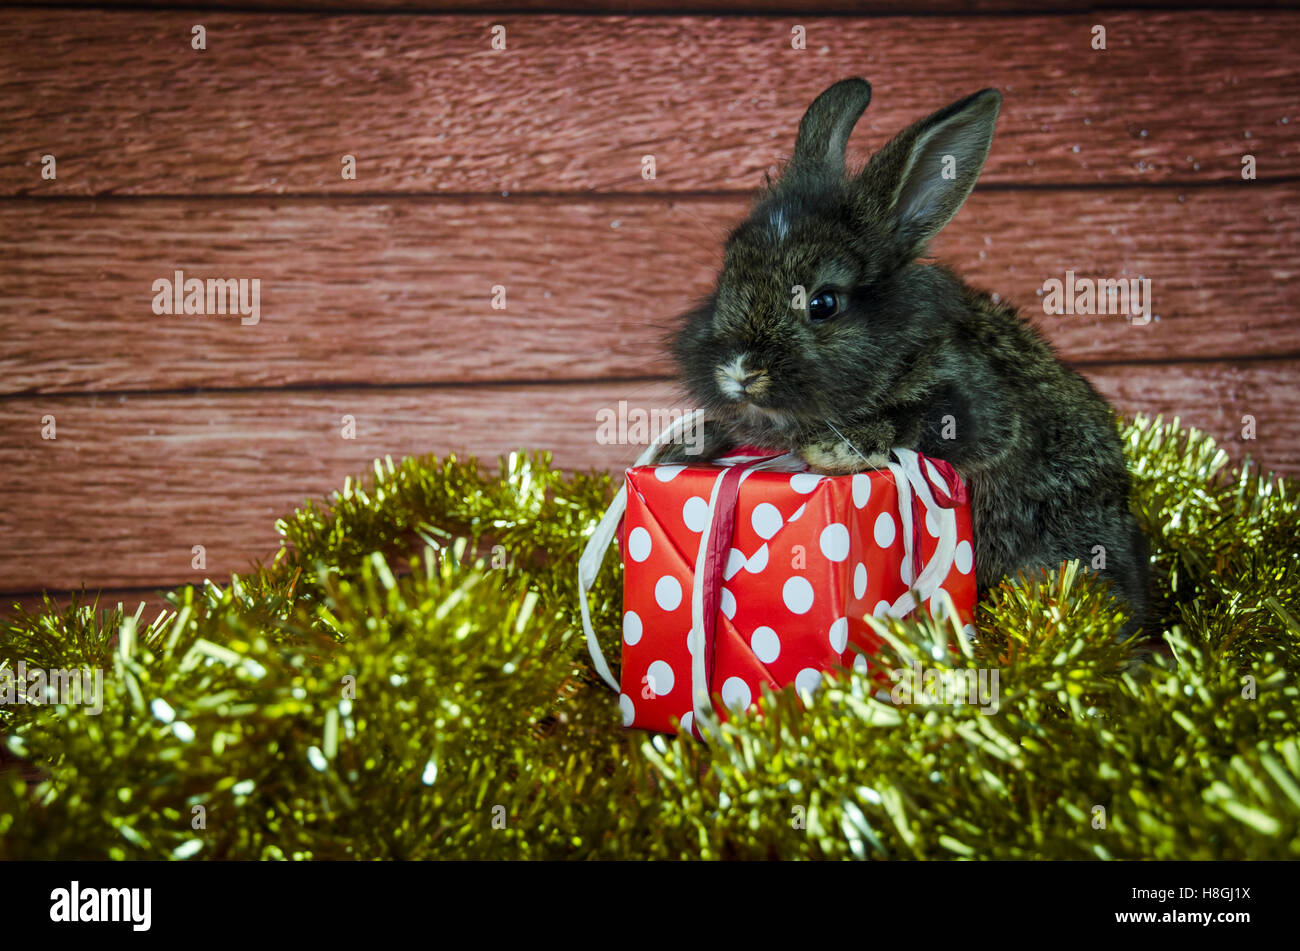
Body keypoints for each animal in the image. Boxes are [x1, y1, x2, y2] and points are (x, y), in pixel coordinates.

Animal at [662, 78, 1151, 635]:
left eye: (823, 303)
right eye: (725, 277)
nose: (740, 372)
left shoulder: (979, 414)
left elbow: (915, 419)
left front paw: (833, 449)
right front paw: (683, 447)